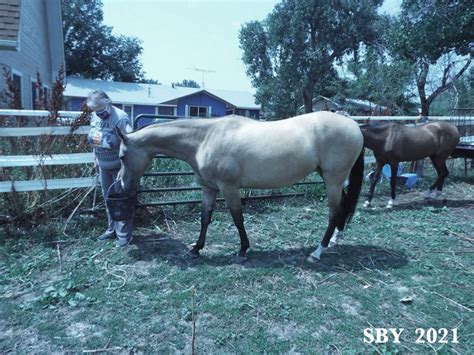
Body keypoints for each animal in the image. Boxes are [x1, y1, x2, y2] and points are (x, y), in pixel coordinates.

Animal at [116, 112, 364, 262]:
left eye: (121, 156)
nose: (121, 184)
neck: (205, 138)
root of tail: (354, 125)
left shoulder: (229, 187)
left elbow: (237, 218)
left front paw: (243, 250)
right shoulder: (209, 188)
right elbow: (205, 218)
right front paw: (196, 248)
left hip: (333, 179)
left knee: (334, 213)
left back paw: (317, 252)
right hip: (332, 178)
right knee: (343, 208)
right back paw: (335, 241)